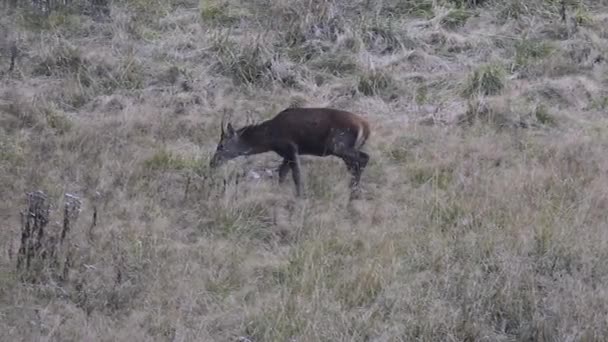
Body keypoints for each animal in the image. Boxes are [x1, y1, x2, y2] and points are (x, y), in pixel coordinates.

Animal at [209, 106, 370, 198]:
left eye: (221, 145)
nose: (212, 163)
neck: (270, 138)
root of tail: (365, 126)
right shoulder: (287, 153)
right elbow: (282, 173)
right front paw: (280, 192)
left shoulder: (290, 147)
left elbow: (296, 175)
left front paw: (300, 196)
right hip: (344, 149)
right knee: (354, 165)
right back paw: (353, 189)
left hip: (338, 145)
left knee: (364, 158)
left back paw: (353, 192)